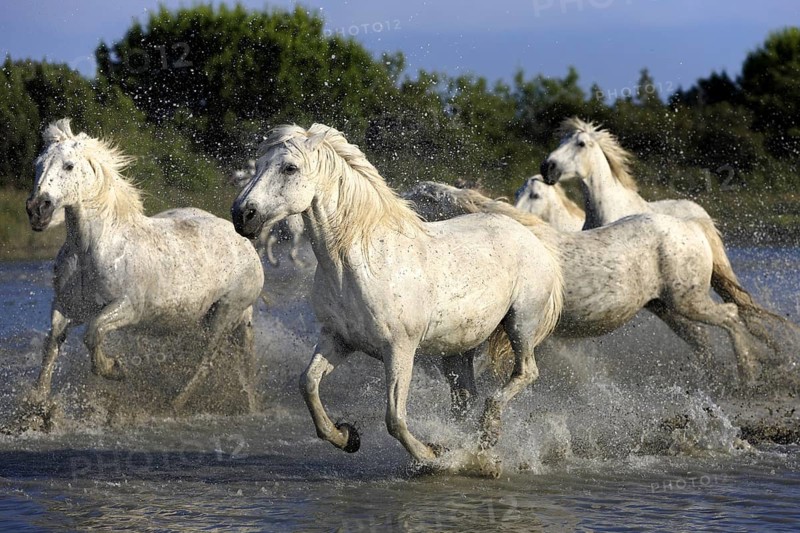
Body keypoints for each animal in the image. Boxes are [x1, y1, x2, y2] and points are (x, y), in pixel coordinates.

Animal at [23, 119, 265, 429]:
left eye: (69, 166)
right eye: (37, 165)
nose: (37, 210)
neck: (92, 249)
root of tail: (247, 245)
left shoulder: (128, 307)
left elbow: (93, 333)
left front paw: (115, 369)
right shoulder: (67, 307)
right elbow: (51, 345)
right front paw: (39, 406)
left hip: (223, 314)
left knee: (206, 360)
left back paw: (173, 404)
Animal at [231, 124, 564, 475]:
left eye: (289, 168)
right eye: (258, 165)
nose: (242, 215)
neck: (360, 260)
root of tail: (530, 236)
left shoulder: (399, 349)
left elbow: (394, 418)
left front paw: (432, 455)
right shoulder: (338, 339)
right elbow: (307, 384)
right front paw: (347, 437)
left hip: (521, 323)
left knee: (524, 373)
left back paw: (487, 435)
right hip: (458, 349)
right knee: (464, 399)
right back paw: (474, 450)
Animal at [404, 181, 768, 385]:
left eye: (422, 197)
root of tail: (691, 225)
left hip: (689, 301)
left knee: (731, 316)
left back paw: (748, 376)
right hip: (666, 308)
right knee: (703, 339)